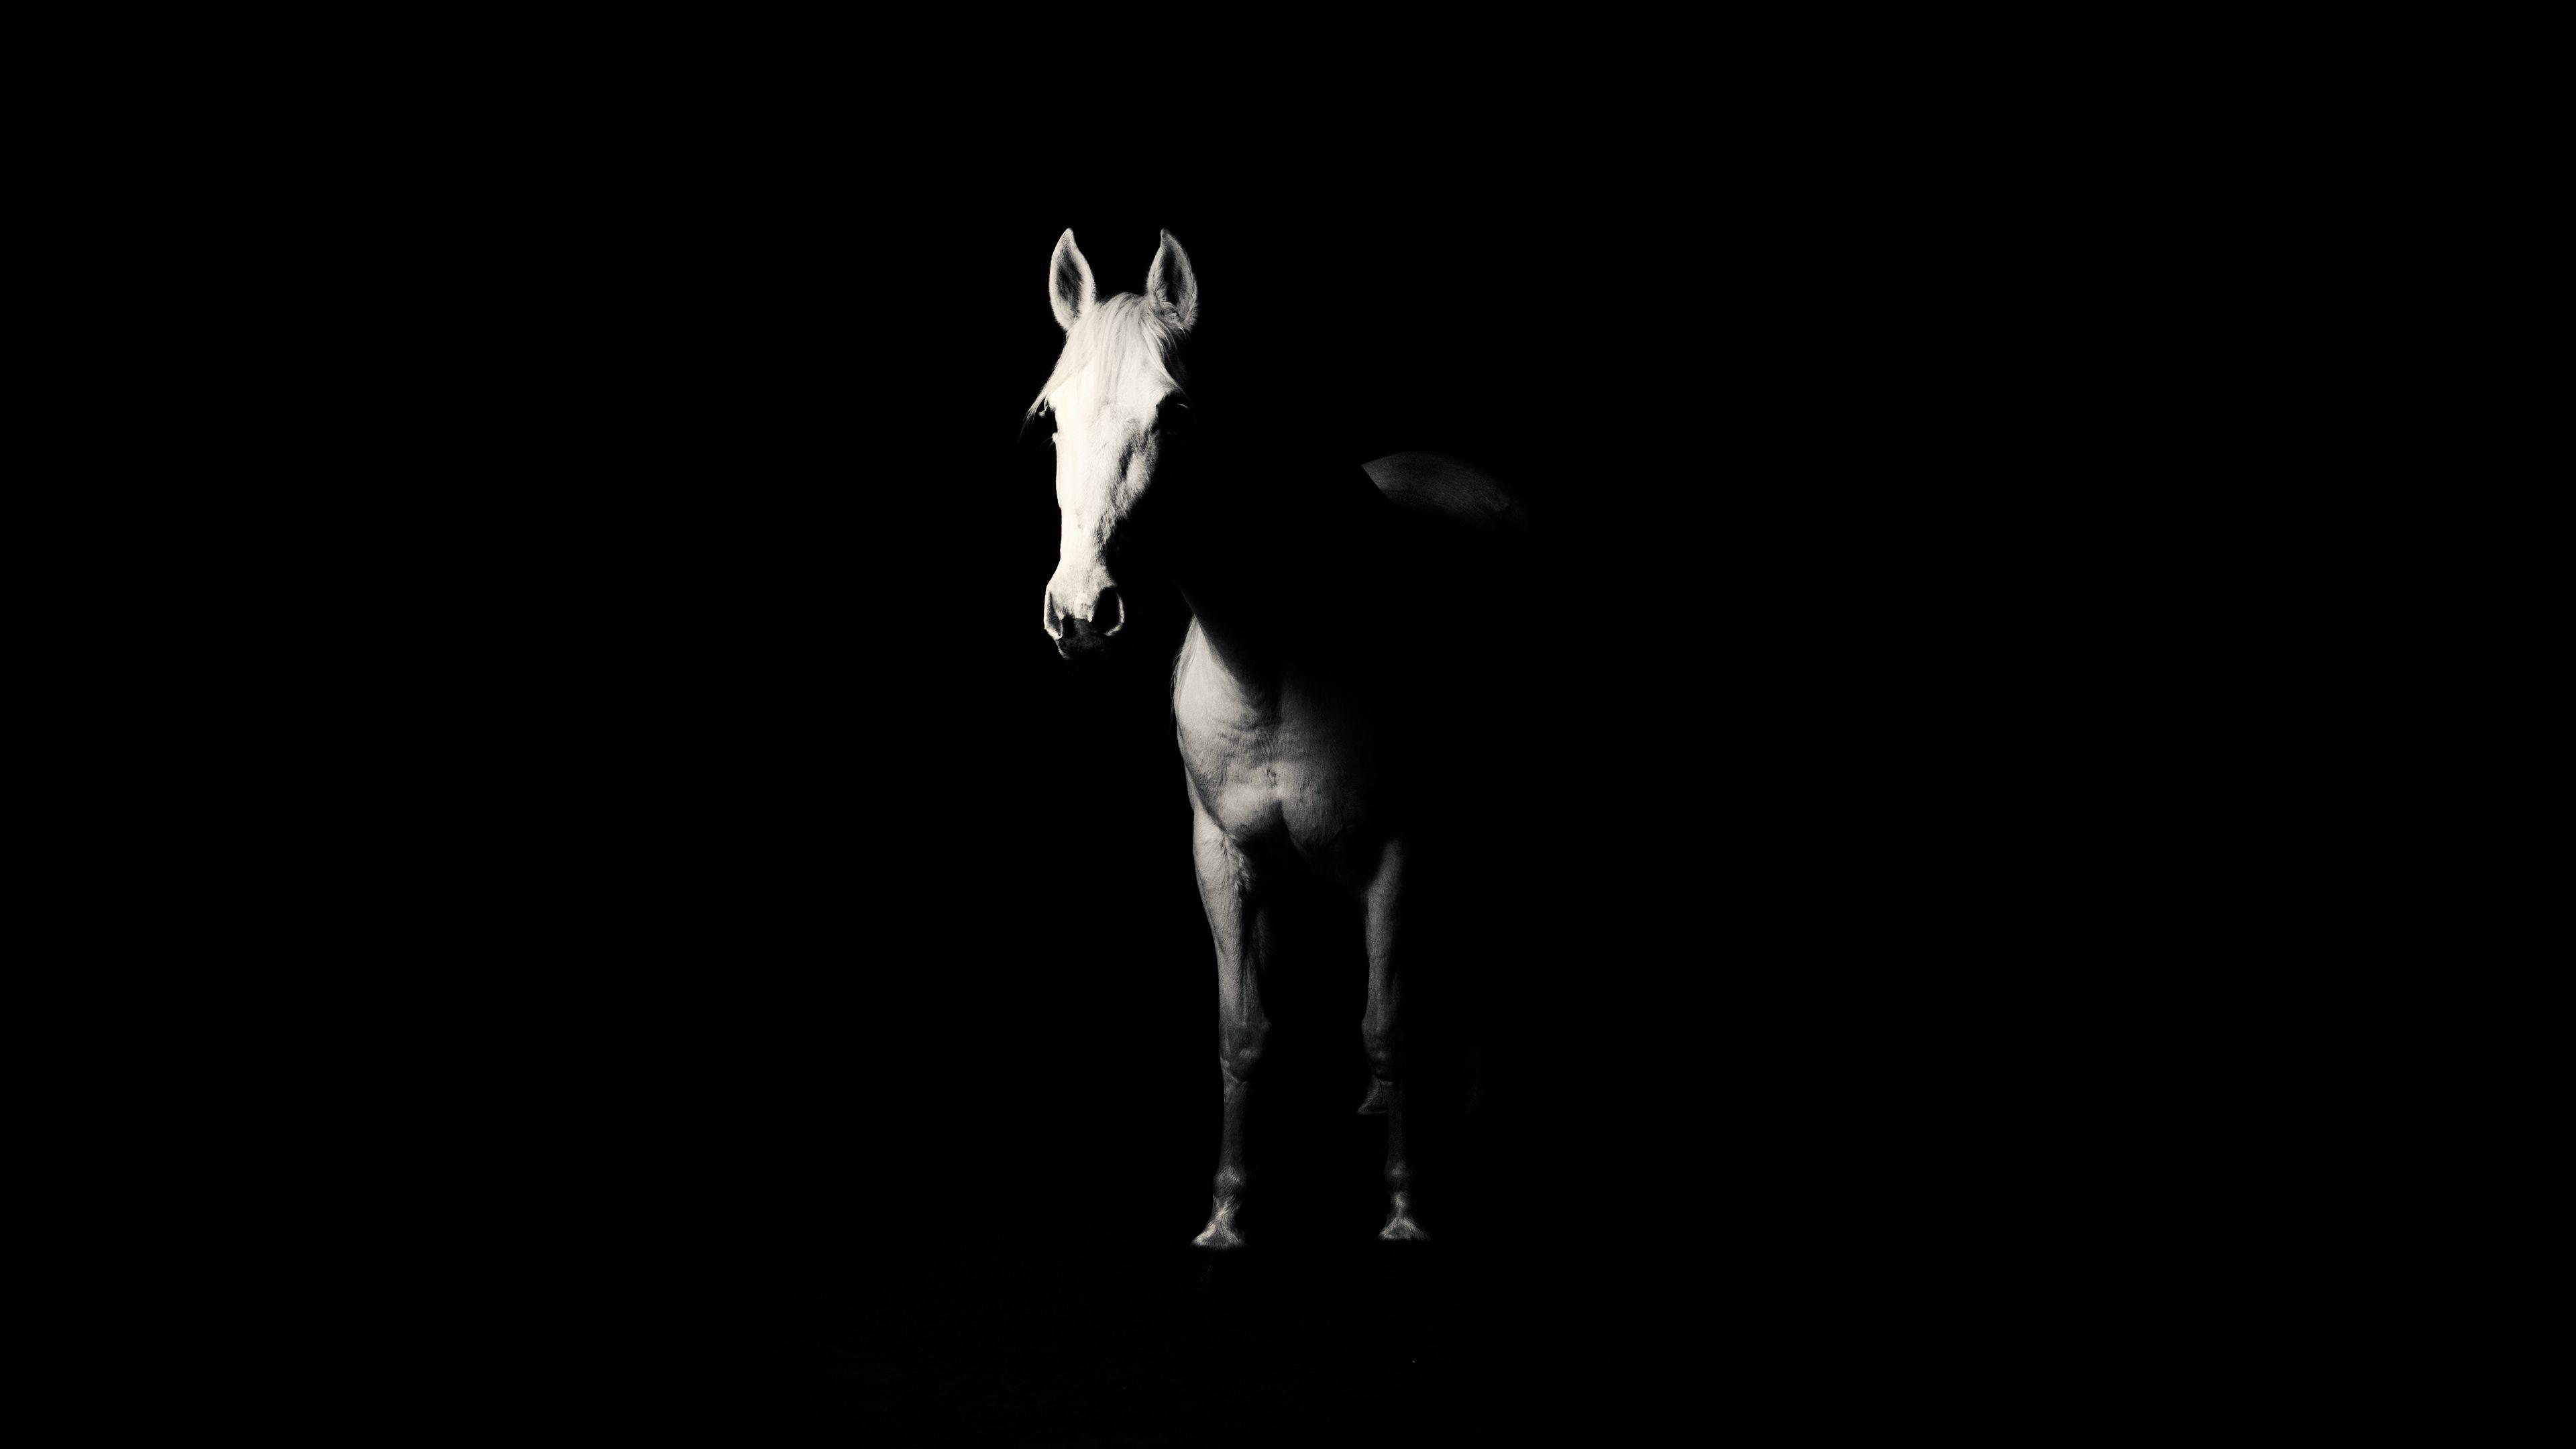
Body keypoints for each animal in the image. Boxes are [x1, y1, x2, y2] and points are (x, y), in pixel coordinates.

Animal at [1029, 228, 1529, 1249]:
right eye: (1052, 417)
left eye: (1175, 411)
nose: (1082, 615)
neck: (1277, 658)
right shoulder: (1221, 857)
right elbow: (1243, 1031)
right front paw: (1227, 1212)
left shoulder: (1398, 853)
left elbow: (1390, 1024)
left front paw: (1405, 1209)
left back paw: (1473, 1107)